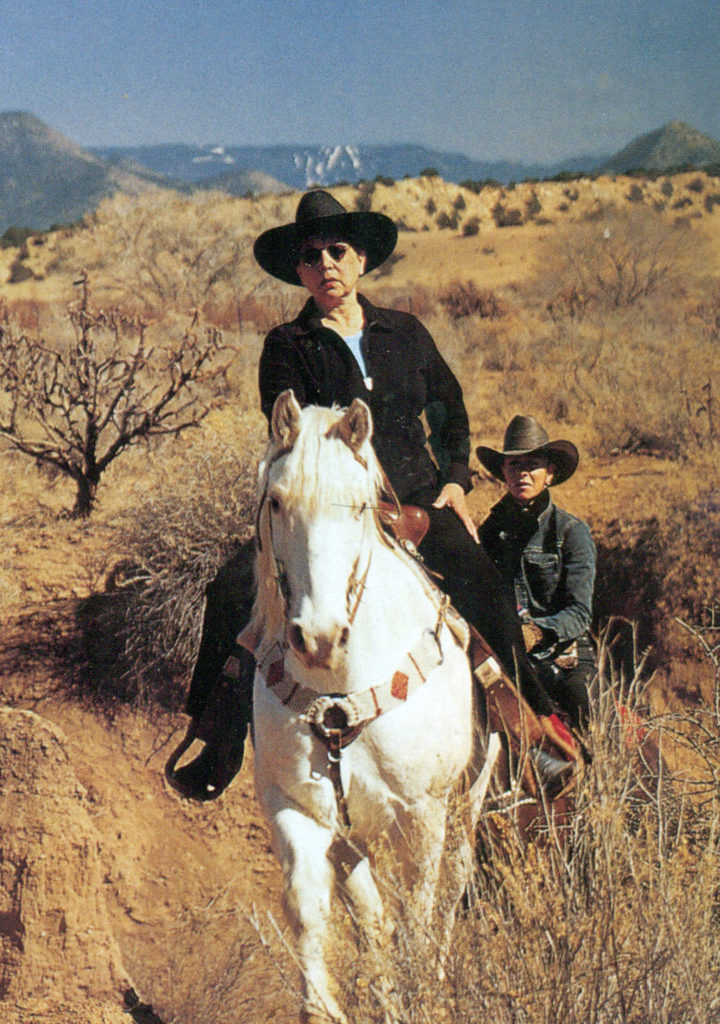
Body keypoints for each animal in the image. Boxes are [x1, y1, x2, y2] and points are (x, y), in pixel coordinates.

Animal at [239, 391, 497, 1024]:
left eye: (359, 507)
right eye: (276, 502)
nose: (319, 636)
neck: (340, 690)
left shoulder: (423, 815)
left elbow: (418, 917)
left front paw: (423, 996)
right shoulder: (294, 807)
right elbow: (311, 910)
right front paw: (325, 1006)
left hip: (468, 803)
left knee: (448, 897)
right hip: (352, 835)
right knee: (370, 915)